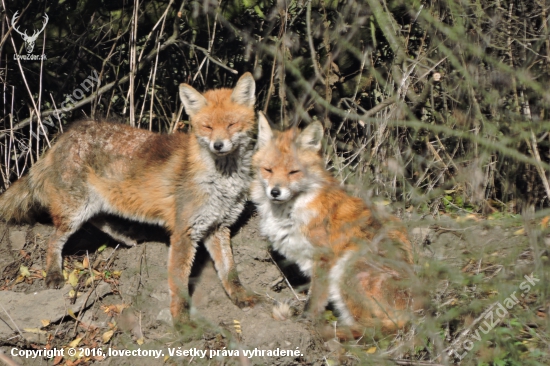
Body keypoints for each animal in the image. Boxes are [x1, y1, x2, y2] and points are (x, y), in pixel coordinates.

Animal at [0, 71, 262, 326]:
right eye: (207, 126)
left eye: (231, 124)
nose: (218, 145)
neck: (221, 180)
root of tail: (67, 134)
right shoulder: (184, 232)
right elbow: (179, 285)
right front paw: (182, 321)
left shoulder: (218, 226)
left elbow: (230, 271)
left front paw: (240, 296)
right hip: (75, 211)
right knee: (53, 240)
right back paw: (53, 273)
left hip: (95, 203)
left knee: (98, 220)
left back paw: (125, 237)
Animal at [252, 113, 420, 338]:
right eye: (268, 170)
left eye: (293, 172)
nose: (275, 192)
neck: (293, 211)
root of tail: (413, 311)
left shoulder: (324, 258)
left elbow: (314, 301)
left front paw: (305, 322)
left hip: (347, 267)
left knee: (367, 327)